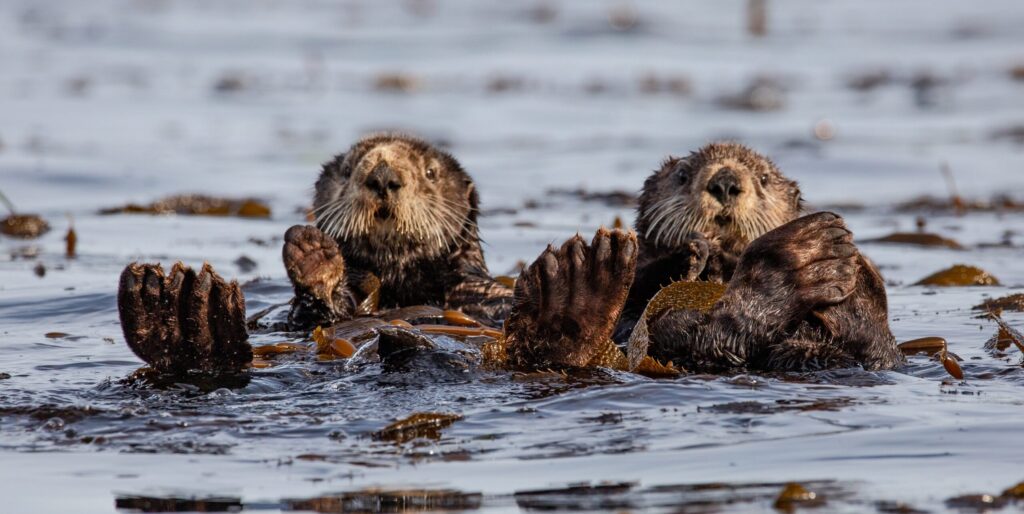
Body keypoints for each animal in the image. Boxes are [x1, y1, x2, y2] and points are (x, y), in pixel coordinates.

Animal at [118, 134, 514, 374]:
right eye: (348, 170)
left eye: (431, 172)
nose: (383, 176)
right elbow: (311, 314)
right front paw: (314, 255)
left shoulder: (476, 293)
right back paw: (171, 307)